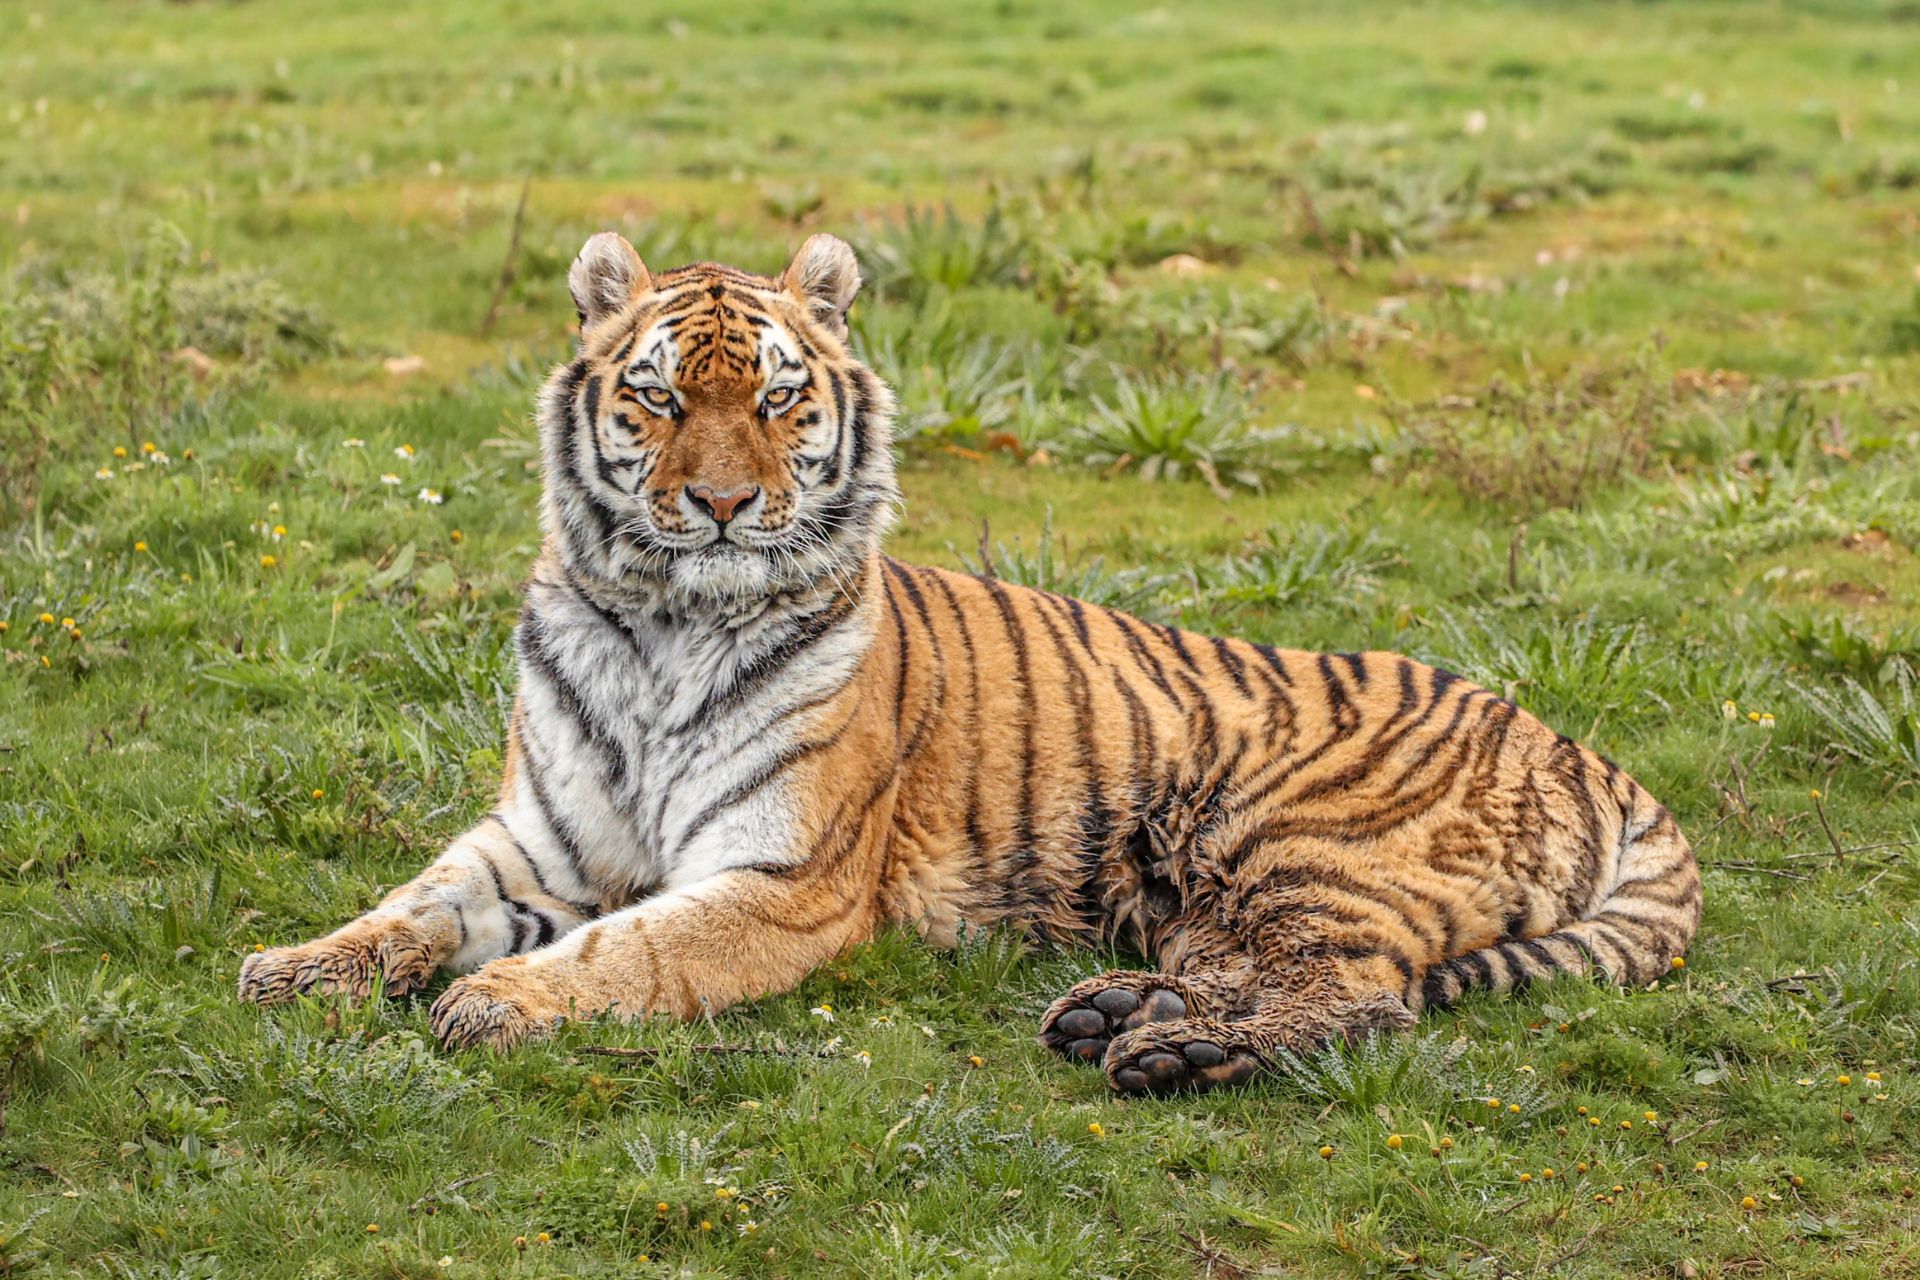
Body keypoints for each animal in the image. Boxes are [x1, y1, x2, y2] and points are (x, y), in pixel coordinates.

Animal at [238, 231, 1702, 1095]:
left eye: (777, 398)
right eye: (656, 397)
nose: (720, 505)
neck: (663, 625)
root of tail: (1596, 756)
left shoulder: (783, 885)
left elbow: (629, 952)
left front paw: (494, 1002)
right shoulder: (539, 841)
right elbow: (414, 905)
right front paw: (295, 967)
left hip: (1299, 839)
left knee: (1361, 997)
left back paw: (1171, 1051)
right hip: (1217, 889)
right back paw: (1114, 1015)